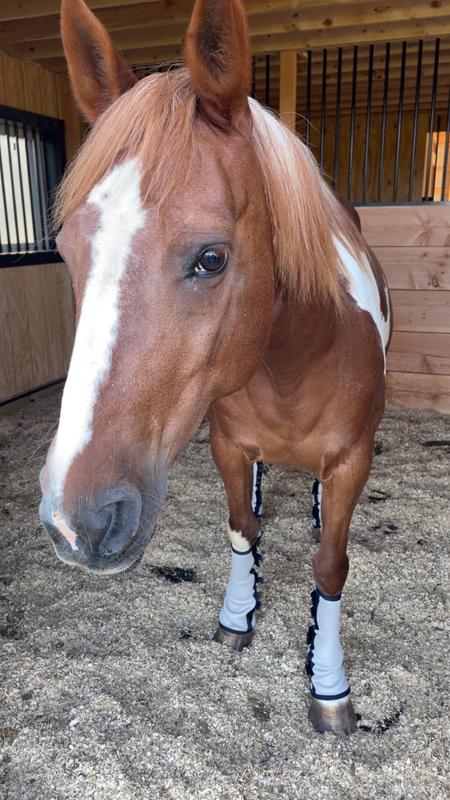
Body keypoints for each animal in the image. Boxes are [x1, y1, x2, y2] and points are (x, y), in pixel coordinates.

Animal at [39, 0, 392, 736]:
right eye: (65, 249)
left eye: (211, 258)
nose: (74, 520)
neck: (296, 362)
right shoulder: (229, 445)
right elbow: (241, 529)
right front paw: (237, 616)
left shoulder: (352, 461)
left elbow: (330, 565)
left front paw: (329, 686)